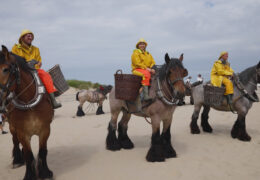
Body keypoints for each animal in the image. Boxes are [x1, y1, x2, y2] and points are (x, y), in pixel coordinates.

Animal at [0, 46, 53, 180]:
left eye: (5, 69)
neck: (29, 103)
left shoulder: (45, 130)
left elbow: (42, 152)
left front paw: (45, 172)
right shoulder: (22, 133)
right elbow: (29, 155)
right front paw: (29, 175)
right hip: (12, 128)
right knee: (15, 142)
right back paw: (17, 160)